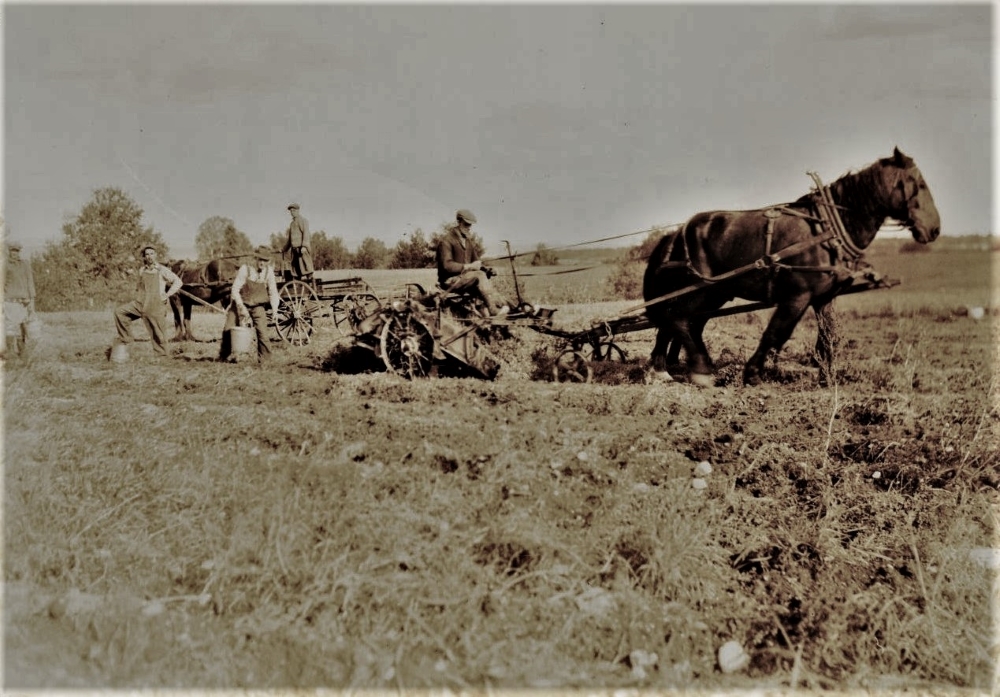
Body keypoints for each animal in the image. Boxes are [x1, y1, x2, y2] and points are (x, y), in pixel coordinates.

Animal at [644, 147, 940, 386]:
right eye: (919, 184)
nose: (935, 229)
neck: (826, 230)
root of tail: (676, 234)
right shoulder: (797, 295)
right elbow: (776, 332)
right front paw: (752, 373)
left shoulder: (823, 297)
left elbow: (828, 337)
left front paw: (827, 378)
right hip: (701, 290)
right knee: (676, 318)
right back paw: (696, 370)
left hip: (715, 293)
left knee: (683, 323)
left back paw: (666, 367)